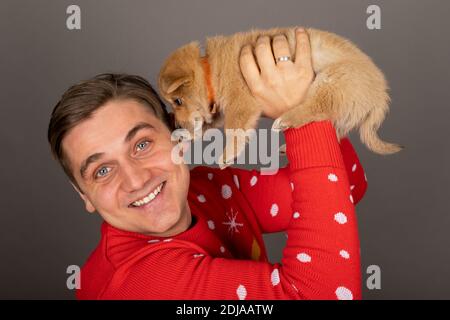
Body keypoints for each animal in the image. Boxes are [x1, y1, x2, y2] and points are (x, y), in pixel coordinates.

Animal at [157, 26, 400, 168]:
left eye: (177, 101)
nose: (176, 125)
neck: (210, 70)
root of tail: (381, 94)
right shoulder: (219, 111)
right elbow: (206, 126)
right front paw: (187, 134)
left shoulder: (241, 105)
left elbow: (234, 130)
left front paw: (227, 154)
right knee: (334, 129)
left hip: (329, 82)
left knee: (314, 109)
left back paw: (286, 120)